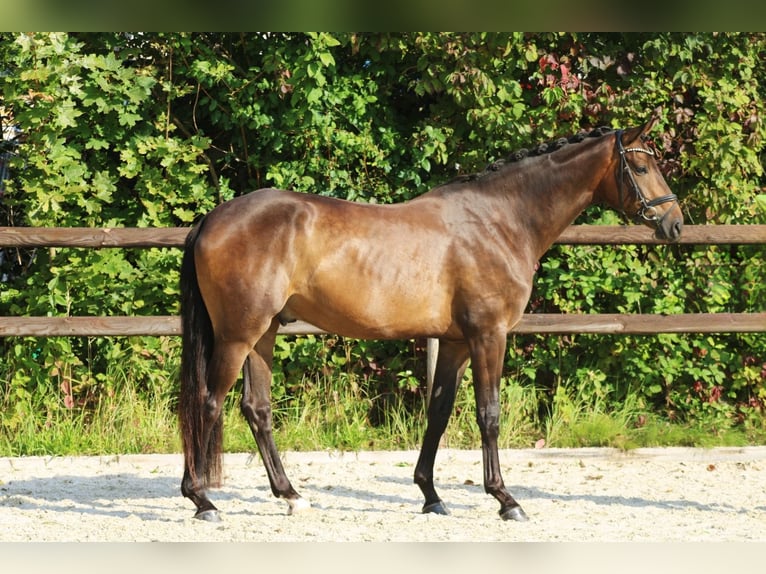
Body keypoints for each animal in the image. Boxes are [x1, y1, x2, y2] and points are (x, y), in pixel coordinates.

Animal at [178, 119, 684, 524]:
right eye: (641, 168)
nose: (675, 222)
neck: (500, 220)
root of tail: (212, 218)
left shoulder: (457, 342)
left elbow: (438, 413)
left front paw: (430, 495)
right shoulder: (488, 336)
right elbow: (489, 415)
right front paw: (506, 499)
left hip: (263, 332)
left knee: (256, 408)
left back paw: (290, 496)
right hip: (238, 334)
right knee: (207, 403)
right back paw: (202, 500)